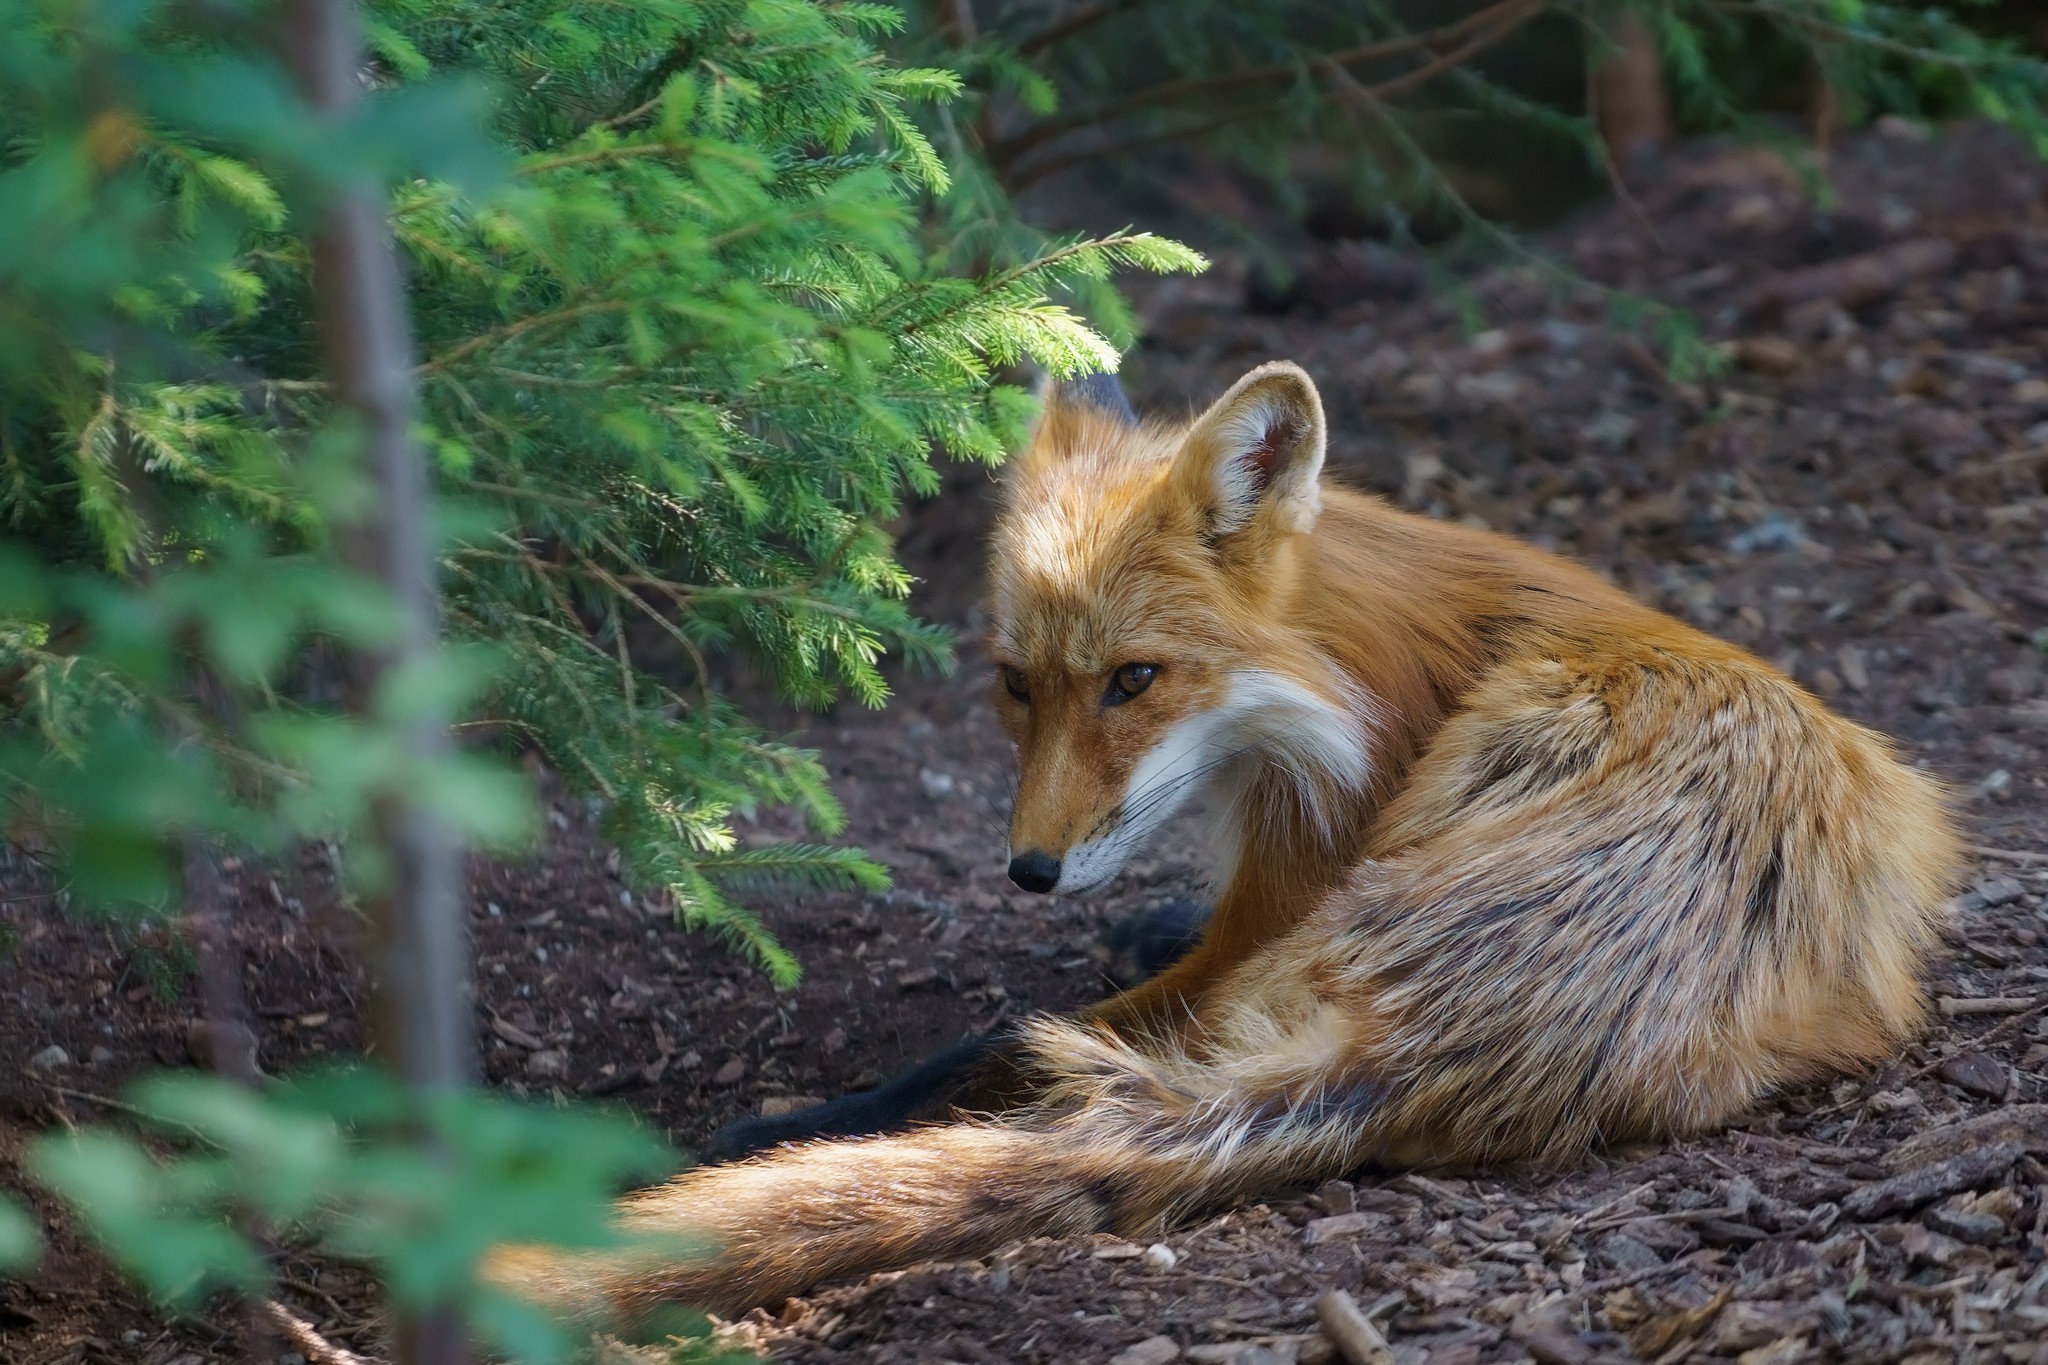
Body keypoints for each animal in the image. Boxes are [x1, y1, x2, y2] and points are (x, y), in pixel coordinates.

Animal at [485, 360, 1961, 1323]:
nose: (1027, 871)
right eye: (1017, 684)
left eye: (1133, 680)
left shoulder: (1290, 881)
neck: (1375, 685)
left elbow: (985, 1042)